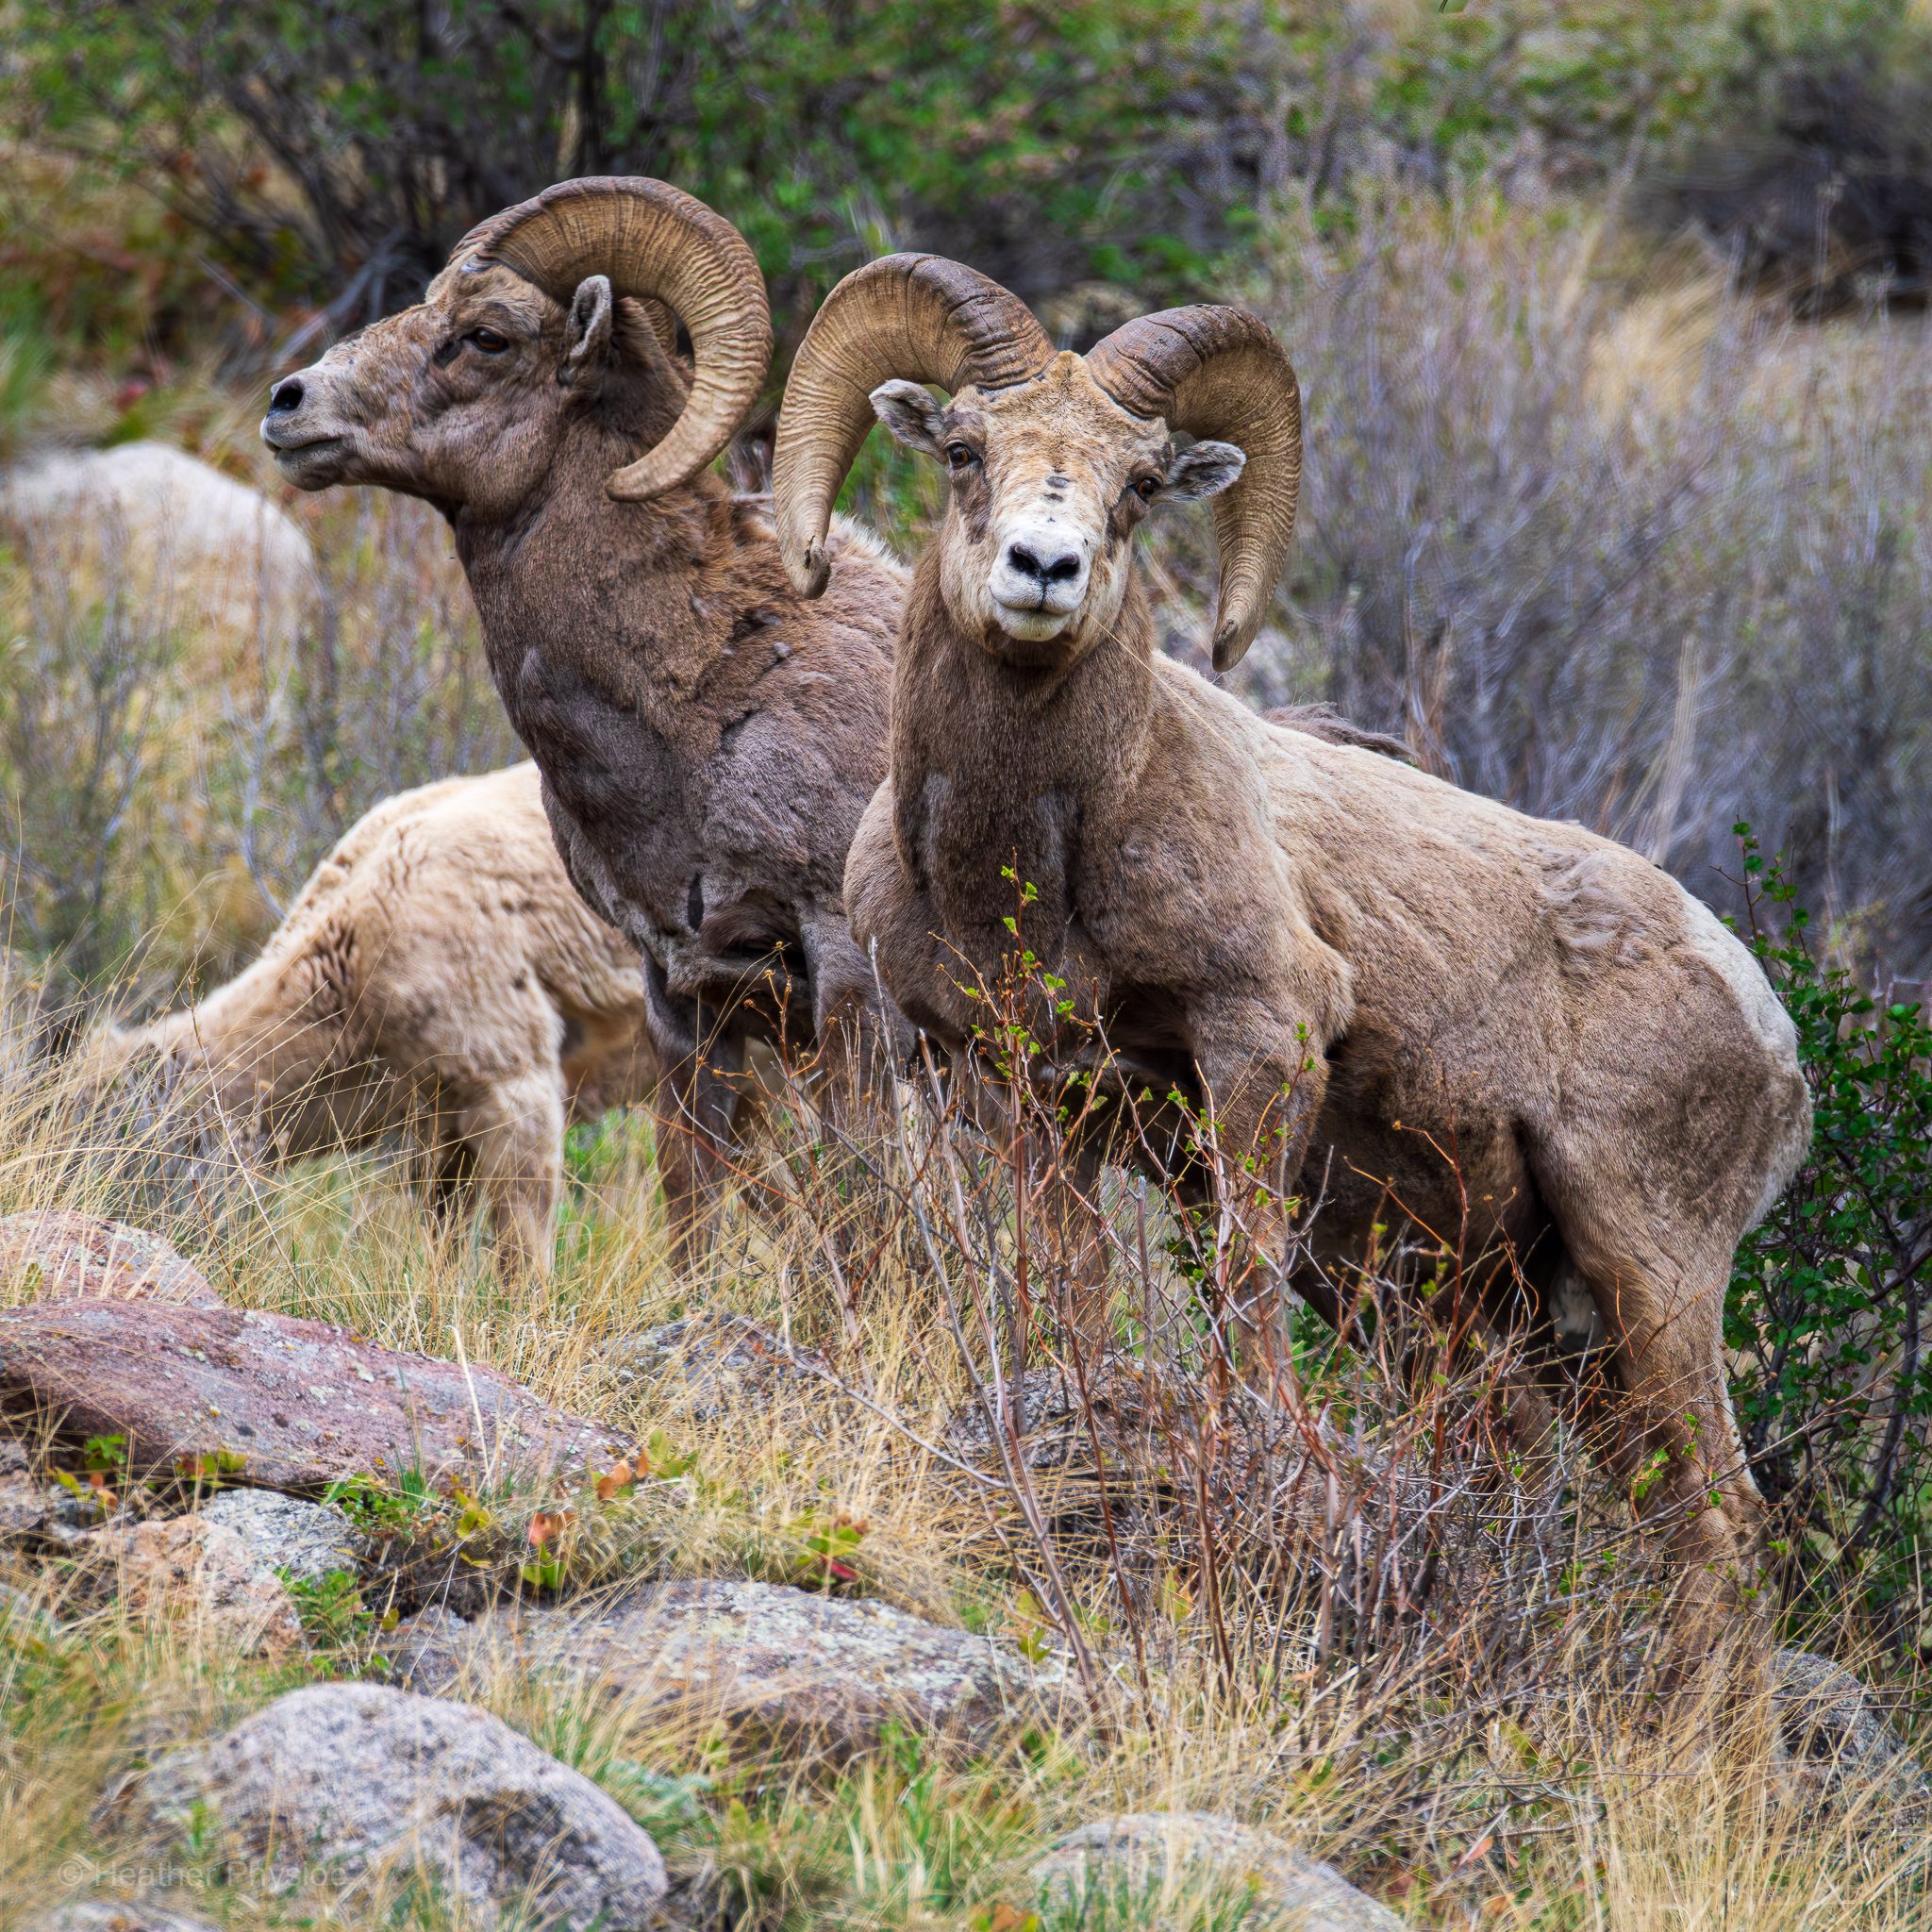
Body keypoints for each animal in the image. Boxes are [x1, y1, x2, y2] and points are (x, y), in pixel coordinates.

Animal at [77, 763, 658, 1272]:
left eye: (109, 1139)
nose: (86, 1204)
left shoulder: (495, 1036)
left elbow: (522, 1206)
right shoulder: (429, 1101)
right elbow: (440, 1213)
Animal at [260, 177, 910, 1257]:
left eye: (484, 335)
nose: (287, 405)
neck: (704, 693)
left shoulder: (845, 976)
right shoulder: (683, 994)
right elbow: (692, 1205)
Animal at [770, 253, 1813, 1632]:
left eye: (1139, 485)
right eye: (963, 451)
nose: (1044, 568)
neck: (1033, 872)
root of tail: (1773, 1035)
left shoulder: (1260, 1040)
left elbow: (1240, 1274)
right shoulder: (1034, 1096)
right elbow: (1070, 1280)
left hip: (1649, 1269)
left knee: (1726, 1527)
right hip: (1539, 1326)